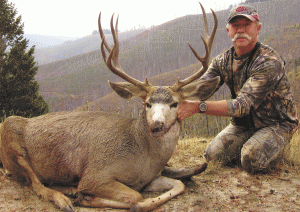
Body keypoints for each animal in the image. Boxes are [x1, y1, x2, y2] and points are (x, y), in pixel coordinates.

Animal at [1, 2, 219, 212]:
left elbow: (178, 185)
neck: (144, 158)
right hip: (12, 138)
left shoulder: (149, 179)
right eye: (147, 103)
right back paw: (66, 199)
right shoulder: (95, 175)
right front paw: (86, 197)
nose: (157, 125)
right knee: (36, 184)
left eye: (174, 103)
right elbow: (136, 197)